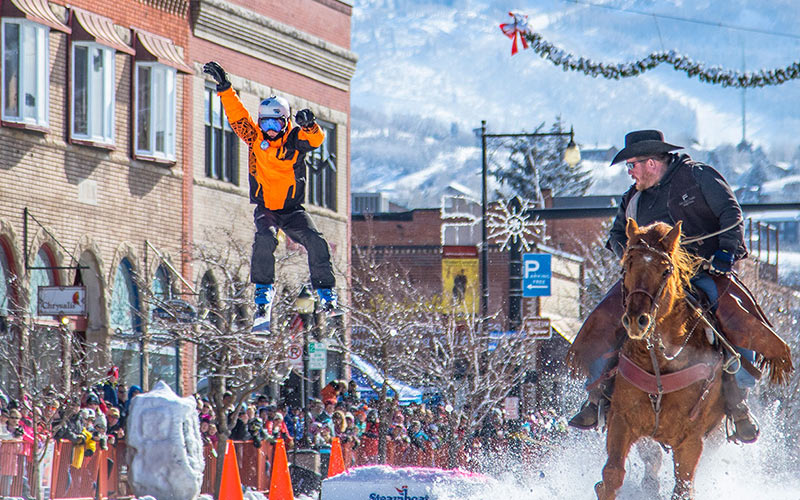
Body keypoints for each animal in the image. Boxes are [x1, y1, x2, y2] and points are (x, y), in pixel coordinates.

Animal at [596, 221, 780, 500]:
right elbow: (612, 476)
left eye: (665, 270)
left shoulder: (691, 439)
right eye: (626, 265)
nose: (637, 320)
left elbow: (683, 488)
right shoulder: (621, 420)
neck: (660, 363)